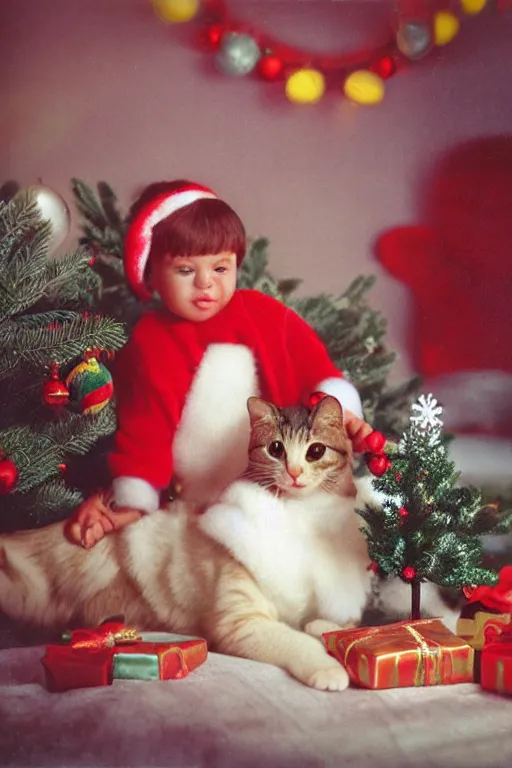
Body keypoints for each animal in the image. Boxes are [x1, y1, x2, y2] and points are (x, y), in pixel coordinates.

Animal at [0, 396, 456, 688]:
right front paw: (328, 667)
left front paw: (327, 629)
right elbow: (297, 641)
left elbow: (341, 626)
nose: (293, 472)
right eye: (276, 449)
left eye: (314, 452)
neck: (302, 522)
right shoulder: (241, 622)